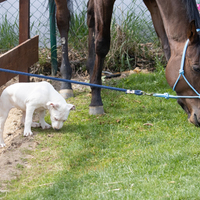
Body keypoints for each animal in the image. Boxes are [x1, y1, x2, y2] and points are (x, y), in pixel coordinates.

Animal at [54, 0, 200, 125]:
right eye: (196, 68)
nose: (198, 116)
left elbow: (165, 41)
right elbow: (102, 44)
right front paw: (96, 100)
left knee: (90, 17)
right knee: (63, 19)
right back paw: (66, 82)